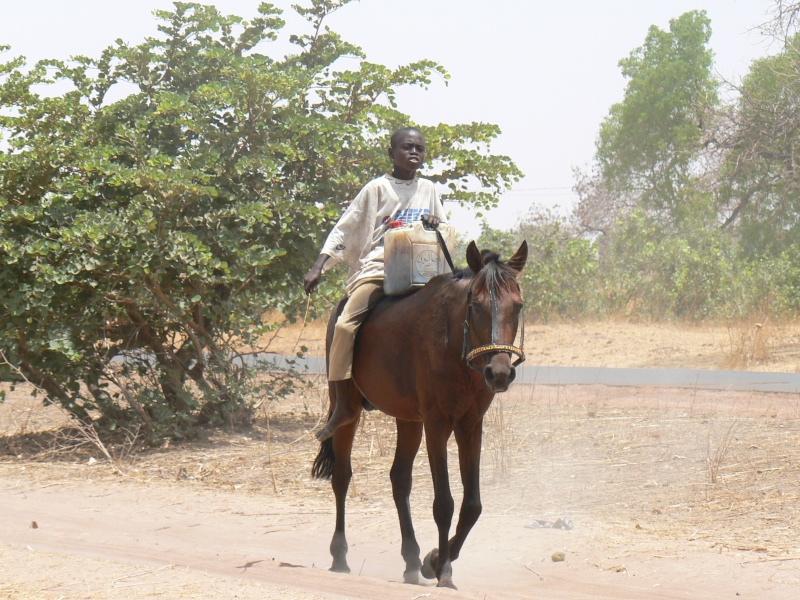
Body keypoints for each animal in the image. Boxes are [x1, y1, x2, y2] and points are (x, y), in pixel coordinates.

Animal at [311, 239, 528, 589]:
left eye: (518, 306)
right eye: (475, 306)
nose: (499, 373)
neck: (454, 344)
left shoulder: (470, 425)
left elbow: (472, 505)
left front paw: (433, 560)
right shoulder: (437, 424)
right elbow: (444, 503)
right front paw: (445, 572)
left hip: (409, 421)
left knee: (400, 479)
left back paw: (412, 561)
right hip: (349, 412)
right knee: (342, 476)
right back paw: (340, 556)